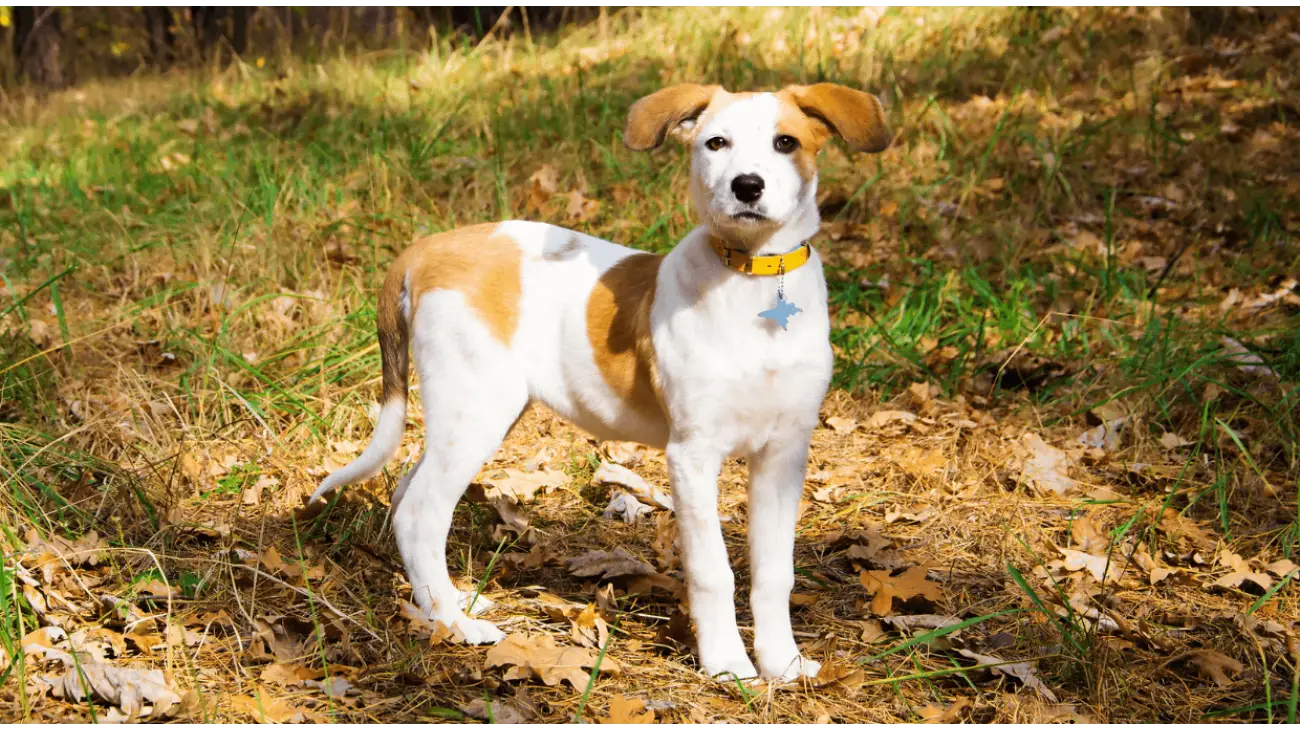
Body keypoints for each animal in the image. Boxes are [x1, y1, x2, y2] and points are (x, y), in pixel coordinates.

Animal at [309, 82, 889, 680]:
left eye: (786, 142)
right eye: (716, 143)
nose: (746, 186)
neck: (751, 281)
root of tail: (426, 249)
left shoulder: (783, 454)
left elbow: (775, 572)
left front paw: (782, 664)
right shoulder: (693, 454)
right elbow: (713, 570)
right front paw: (727, 664)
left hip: (471, 412)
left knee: (406, 495)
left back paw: (443, 605)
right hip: (477, 410)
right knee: (422, 510)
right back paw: (456, 625)